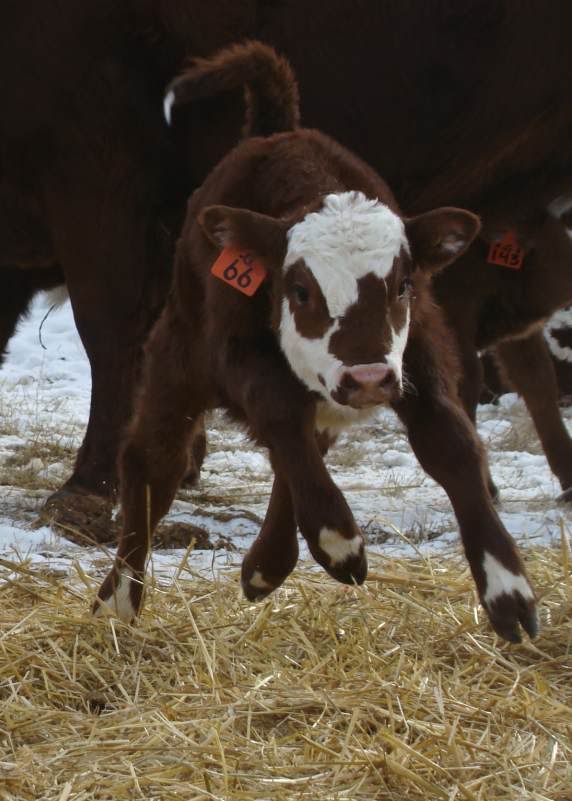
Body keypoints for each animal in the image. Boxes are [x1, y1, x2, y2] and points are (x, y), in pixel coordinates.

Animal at [93, 42, 538, 645]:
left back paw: (264, 567)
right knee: (153, 463)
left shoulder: (417, 353)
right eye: (300, 290)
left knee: (303, 446)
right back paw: (118, 600)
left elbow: (451, 444)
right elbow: (279, 415)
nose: (368, 378)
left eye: (402, 284)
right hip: (178, 355)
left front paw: (508, 589)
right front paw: (338, 539)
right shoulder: (234, 352)